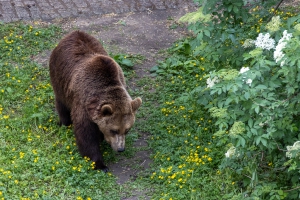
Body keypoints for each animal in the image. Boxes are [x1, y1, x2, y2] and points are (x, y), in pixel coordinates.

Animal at [48, 30, 142, 172]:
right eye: (114, 130)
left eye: (127, 130)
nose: (121, 149)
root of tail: (73, 33)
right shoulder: (83, 104)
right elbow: (86, 135)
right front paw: (100, 164)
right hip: (59, 77)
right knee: (61, 103)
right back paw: (64, 122)